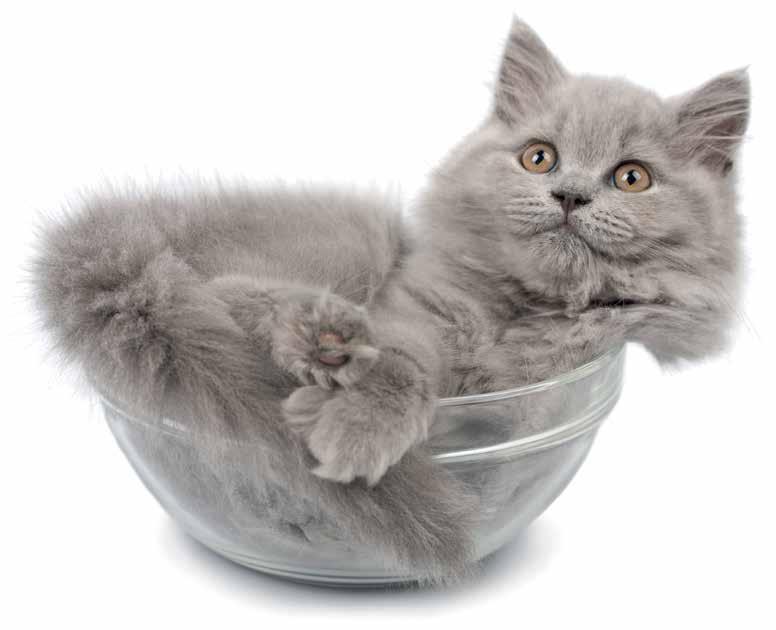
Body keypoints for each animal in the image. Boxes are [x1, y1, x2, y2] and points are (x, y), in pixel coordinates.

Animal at [32, 18, 749, 582]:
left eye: (632, 177)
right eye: (539, 158)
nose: (570, 194)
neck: (516, 315)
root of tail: (129, 233)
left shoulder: (536, 407)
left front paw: (331, 414)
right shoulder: (410, 312)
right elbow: (402, 368)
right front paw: (356, 427)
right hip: (349, 241)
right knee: (223, 291)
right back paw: (320, 340)